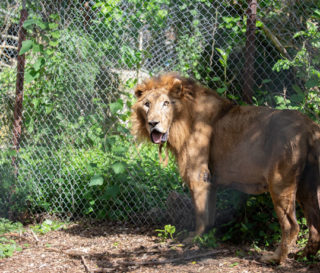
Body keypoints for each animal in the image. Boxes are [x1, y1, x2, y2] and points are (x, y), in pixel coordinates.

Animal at [130, 71, 320, 262]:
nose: (153, 123)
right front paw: (207, 235)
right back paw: (304, 255)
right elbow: (209, 213)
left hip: (281, 182)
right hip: (308, 186)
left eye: (166, 103)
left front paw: (195, 238)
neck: (181, 120)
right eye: (147, 104)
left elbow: (200, 212)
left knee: (291, 225)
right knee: (316, 225)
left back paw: (275, 259)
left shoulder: (197, 174)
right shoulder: (211, 180)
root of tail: (309, 126)